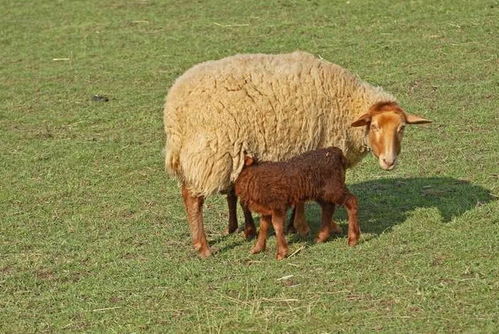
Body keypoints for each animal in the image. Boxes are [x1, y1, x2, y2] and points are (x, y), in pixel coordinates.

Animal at [164, 51, 430, 258]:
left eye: (402, 128)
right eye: (374, 126)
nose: (389, 161)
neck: (347, 105)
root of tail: (174, 108)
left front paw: (296, 226)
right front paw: (307, 227)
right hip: (211, 152)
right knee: (192, 198)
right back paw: (203, 247)